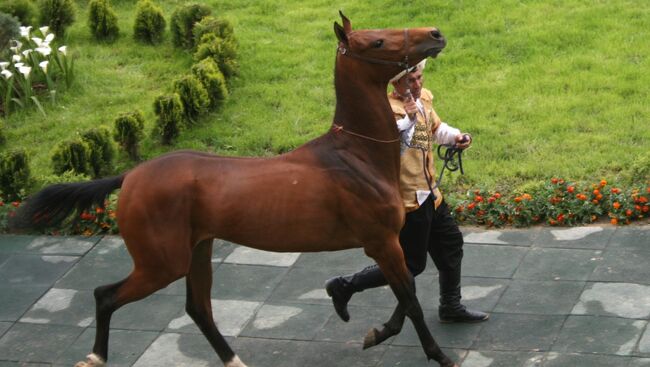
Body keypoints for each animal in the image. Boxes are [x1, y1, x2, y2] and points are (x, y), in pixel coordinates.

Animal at [11, 11, 456, 367]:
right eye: (377, 41)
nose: (435, 34)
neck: (357, 154)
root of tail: (132, 176)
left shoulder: (387, 243)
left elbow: (406, 293)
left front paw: (376, 330)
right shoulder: (380, 241)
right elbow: (411, 300)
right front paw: (439, 355)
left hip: (198, 249)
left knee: (198, 308)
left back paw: (233, 360)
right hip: (162, 262)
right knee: (106, 295)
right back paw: (95, 356)